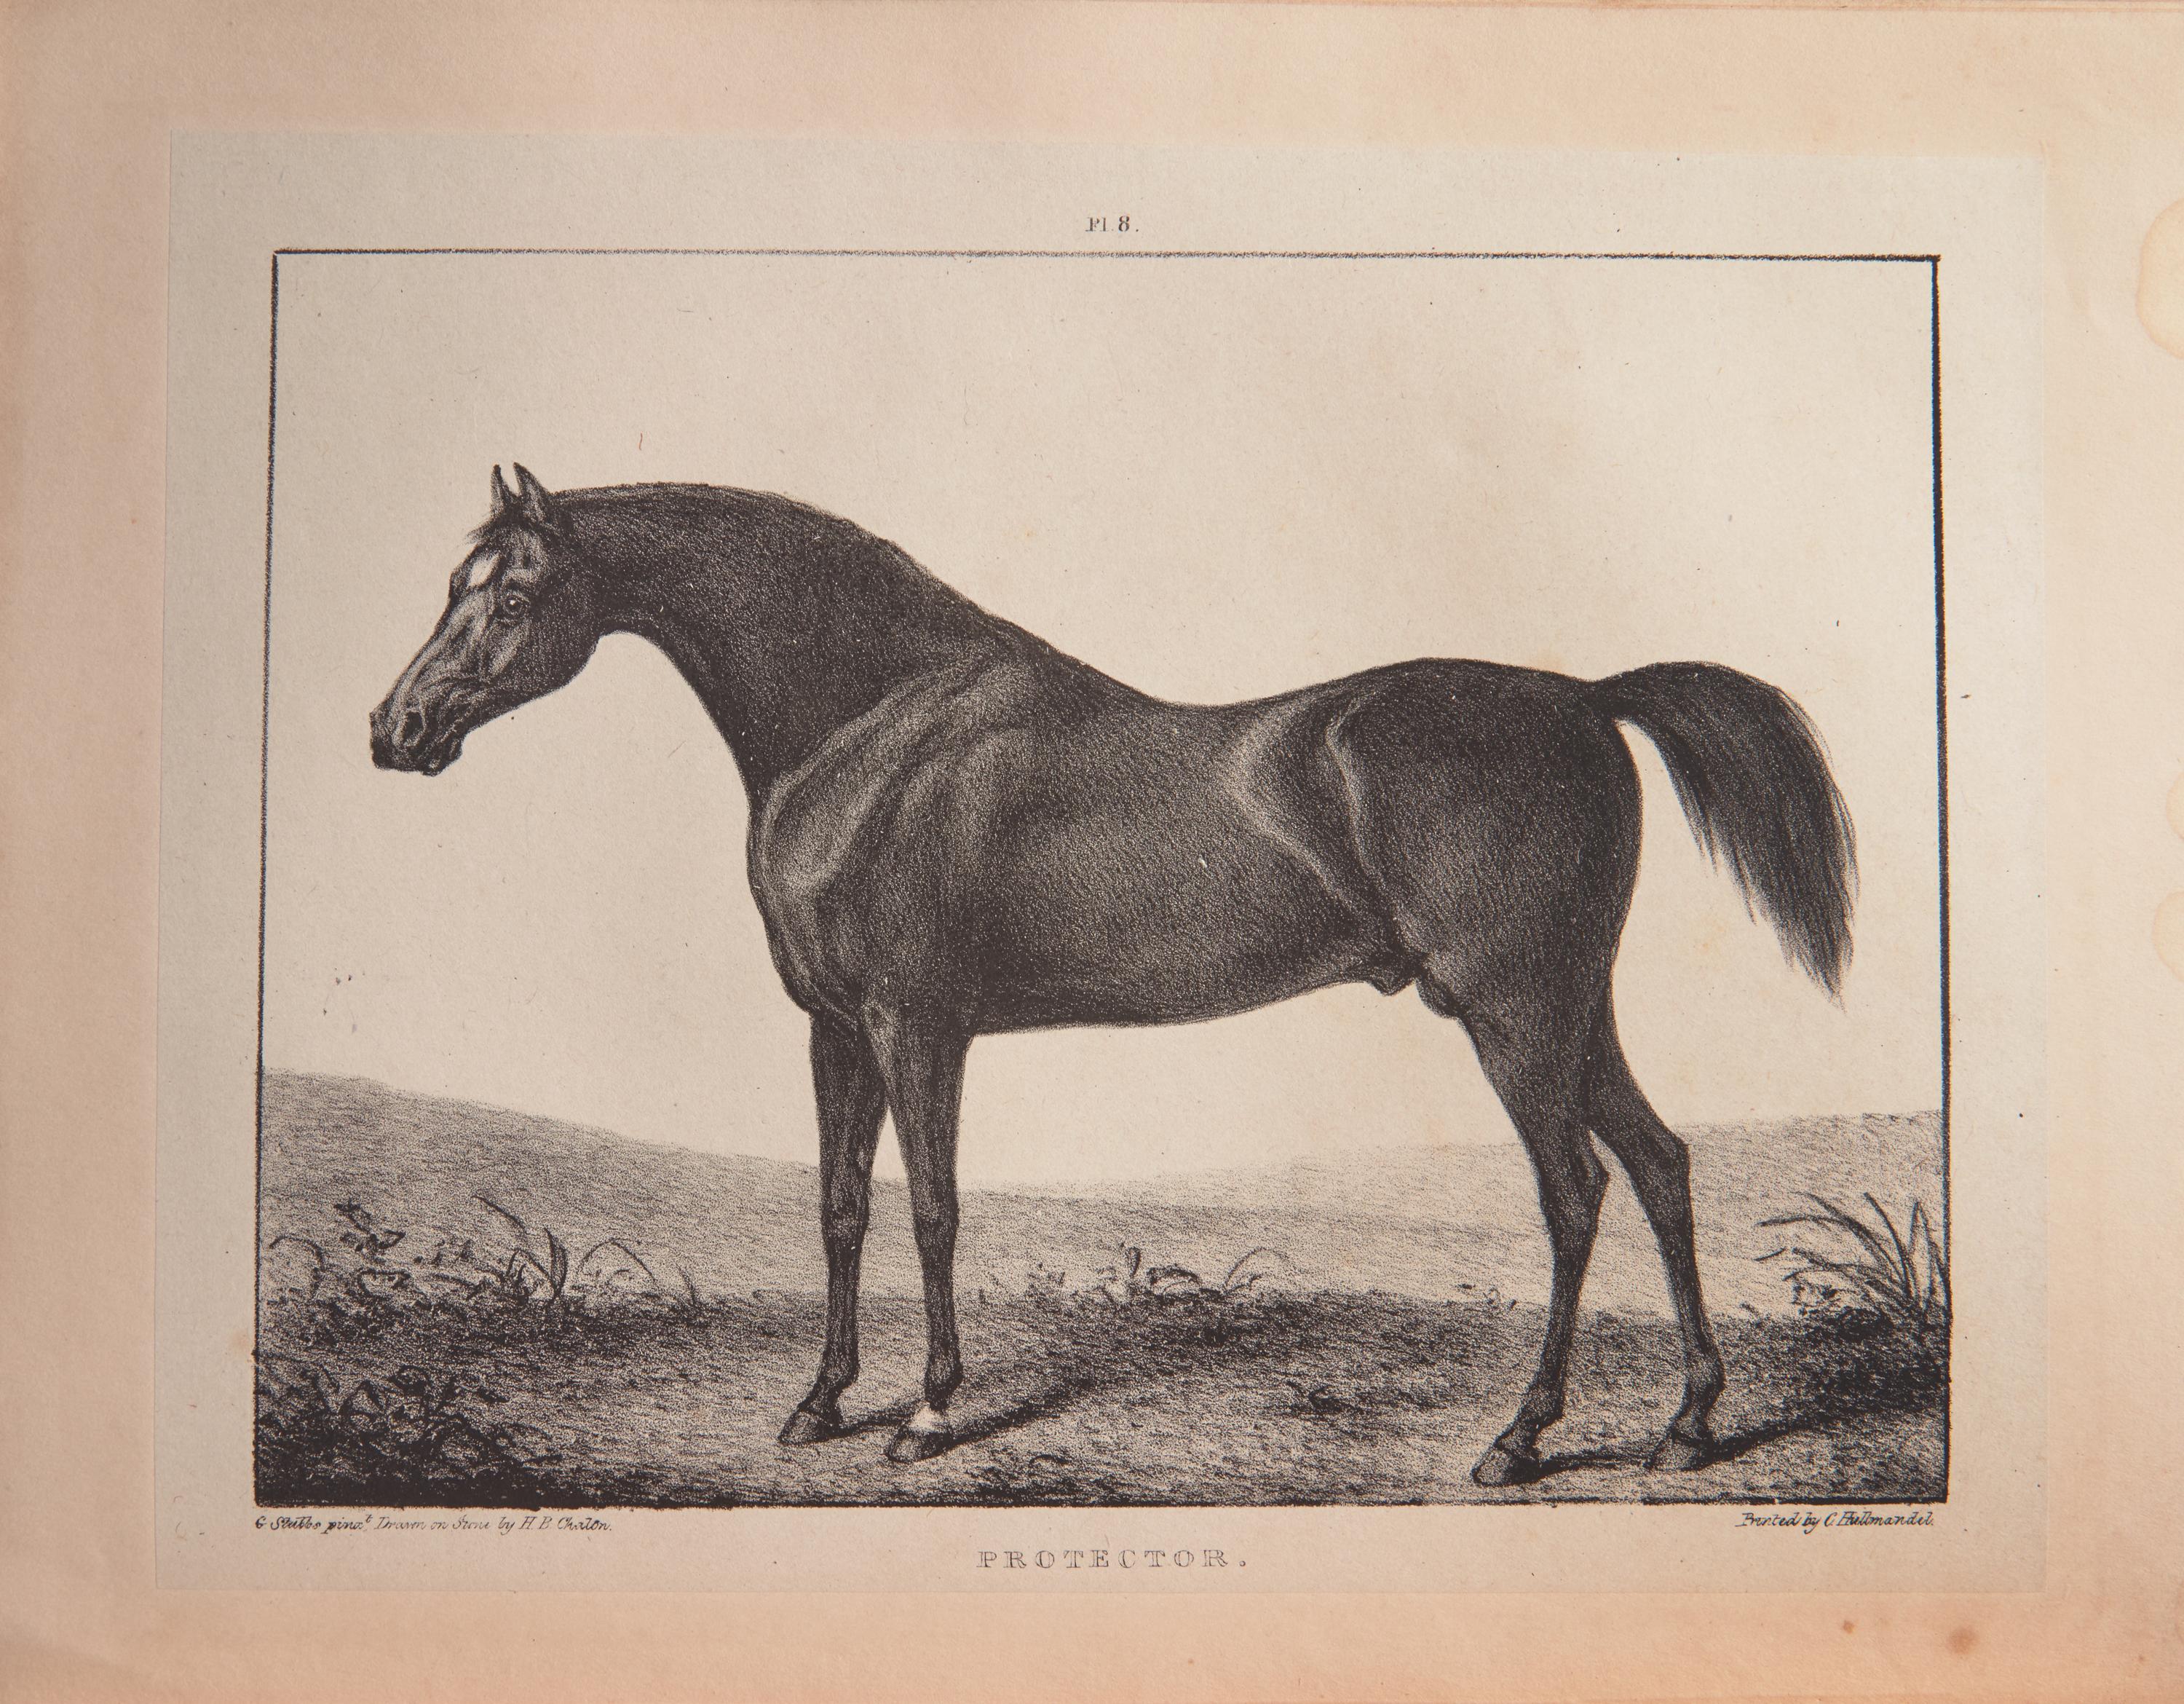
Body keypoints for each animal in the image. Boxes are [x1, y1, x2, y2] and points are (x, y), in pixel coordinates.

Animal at [369, 465, 1855, 1486]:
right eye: (450, 585)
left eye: (514, 593)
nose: (396, 728)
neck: (869, 727)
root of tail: (1588, 699)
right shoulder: (836, 1030)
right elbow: (842, 1209)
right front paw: (817, 1405)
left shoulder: (920, 1027)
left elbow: (934, 1212)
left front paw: (928, 1413)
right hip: (1568, 1010)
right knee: (1660, 1165)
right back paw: (1687, 1425)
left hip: (1512, 1015)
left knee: (1576, 1192)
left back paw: (1520, 1440)